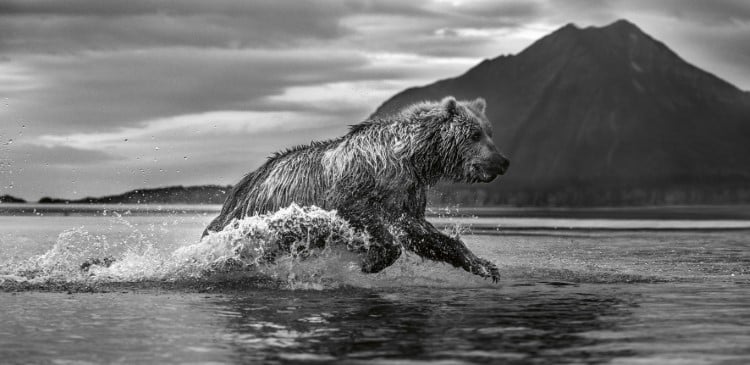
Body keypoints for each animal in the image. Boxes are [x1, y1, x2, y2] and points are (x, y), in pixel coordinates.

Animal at [203, 96, 512, 282]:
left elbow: (422, 234)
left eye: (490, 131)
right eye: (475, 134)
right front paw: (369, 261)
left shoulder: (406, 193)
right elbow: (363, 217)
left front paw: (484, 265)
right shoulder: (357, 184)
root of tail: (240, 188)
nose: (502, 161)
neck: (412, 158)